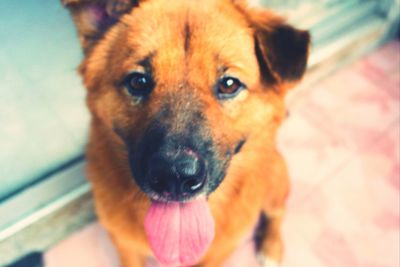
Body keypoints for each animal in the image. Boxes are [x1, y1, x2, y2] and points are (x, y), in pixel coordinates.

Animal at [63, 1, 310, 266]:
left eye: (229, 84)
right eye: (138, 81)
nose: (175, 177)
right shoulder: (124, 245)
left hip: (276, 180)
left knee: (277, 212)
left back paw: (271, 247)